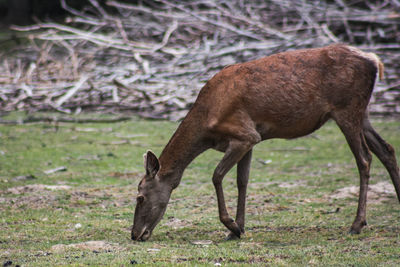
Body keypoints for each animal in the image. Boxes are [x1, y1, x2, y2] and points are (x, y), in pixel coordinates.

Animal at [130, 44, 398, 243]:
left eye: (140, 197)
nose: (134, 234)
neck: (206, 125)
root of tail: (375, 61)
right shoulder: (249, 141)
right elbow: (242, 181)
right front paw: (238, 228)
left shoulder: (245, 134)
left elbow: (217, 176)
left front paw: (232, 225)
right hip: (362, 112)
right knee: (387, 149)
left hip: (347, 109)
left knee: (364, 159)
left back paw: (356, 225)